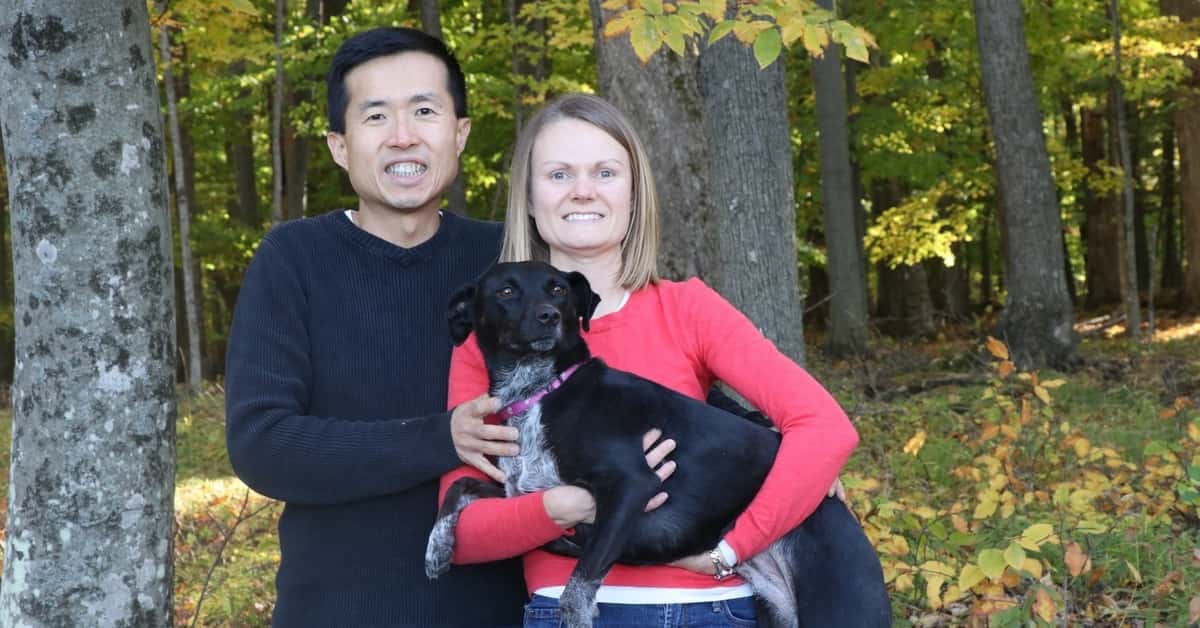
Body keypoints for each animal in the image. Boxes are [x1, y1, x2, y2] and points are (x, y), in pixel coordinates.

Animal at [427, 261, 888, 628]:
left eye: (557, 289)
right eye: (506, 291)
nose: (548, 317)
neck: (543, 390)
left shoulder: (633, 484)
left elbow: (576, 589)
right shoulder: (522, 490)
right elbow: (459, 487)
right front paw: (438, 548)